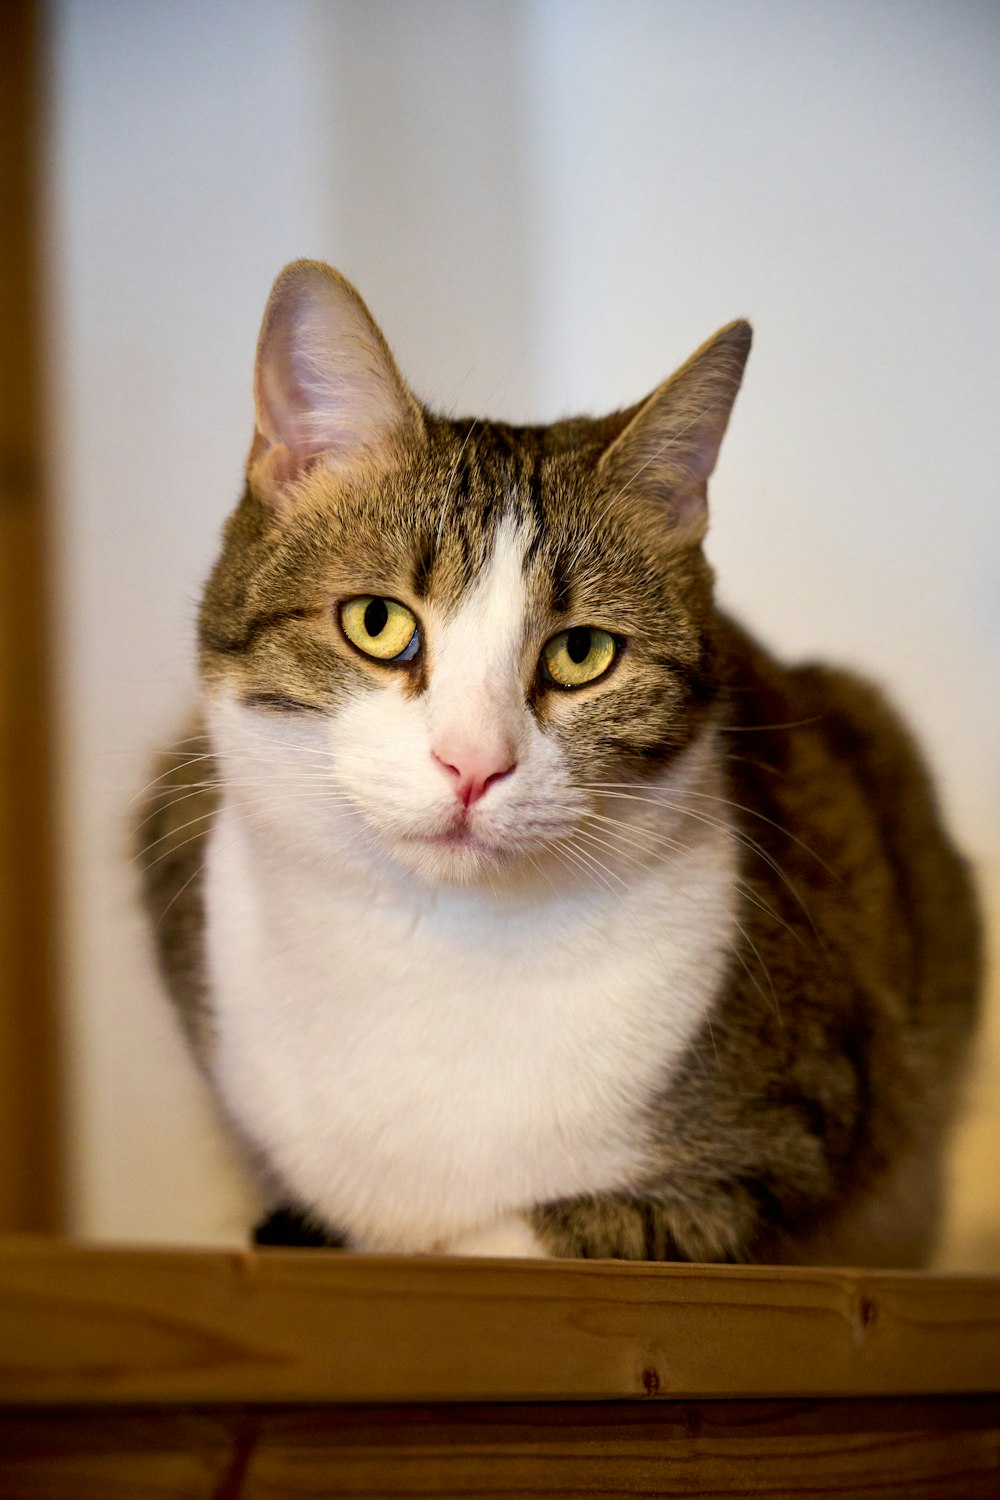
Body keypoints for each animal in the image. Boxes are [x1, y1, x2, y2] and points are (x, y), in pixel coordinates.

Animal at [137, 261, 983, 1266]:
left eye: (582, 653)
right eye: (378, 624)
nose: (472, 764)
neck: (437, 954)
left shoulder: (792, 1130)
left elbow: (534, 1234)